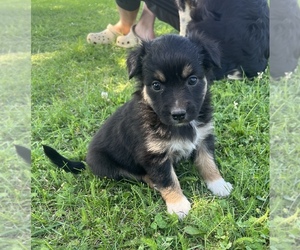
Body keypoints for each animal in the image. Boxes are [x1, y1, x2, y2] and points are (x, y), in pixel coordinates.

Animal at [43, 32, 233, 218]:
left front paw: (218, 184)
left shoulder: (203, 137)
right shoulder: (154, 155)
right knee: (137, 175)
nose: (178, 114)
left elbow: (208, 162)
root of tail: (86, 162)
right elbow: (168, 179)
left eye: (192, 80)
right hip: (108, 165)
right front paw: (178, 205)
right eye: (156, 85)